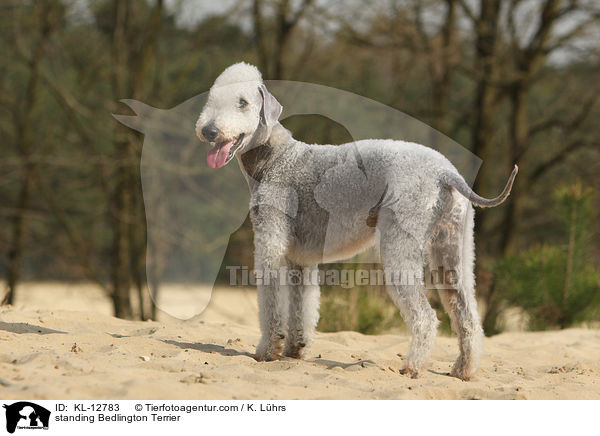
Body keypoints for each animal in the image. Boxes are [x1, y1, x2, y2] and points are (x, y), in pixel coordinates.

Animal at [196, 63, 516, 380]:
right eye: (212, 98)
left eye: (243, 103)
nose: (208, 131)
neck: (276, 158)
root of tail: (445, 171)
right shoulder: (301, 259)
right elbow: (303, 307)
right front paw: (294, 351)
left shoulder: (270, 243)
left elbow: (271, 302)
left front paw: (266, 351)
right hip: (453, 247)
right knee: (467, 314)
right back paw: (464, 370)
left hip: (401, 242)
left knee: (425, 316)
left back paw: (412, 366)